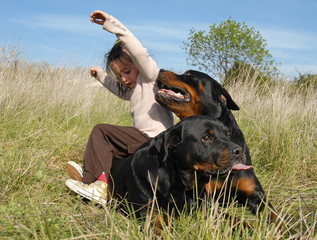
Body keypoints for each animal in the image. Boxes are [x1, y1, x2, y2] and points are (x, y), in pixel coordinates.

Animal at [108, 115, 249, 220]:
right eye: (206, 137)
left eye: (228, 135)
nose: (239, 151)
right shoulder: (147, 212)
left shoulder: (207, 208)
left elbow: (235, 219)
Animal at [154, 69, 276, 218]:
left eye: (189, 74)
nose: (161, 70)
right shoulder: (206, 201)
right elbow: (233, 219)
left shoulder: (257, 194)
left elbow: (278, 217)